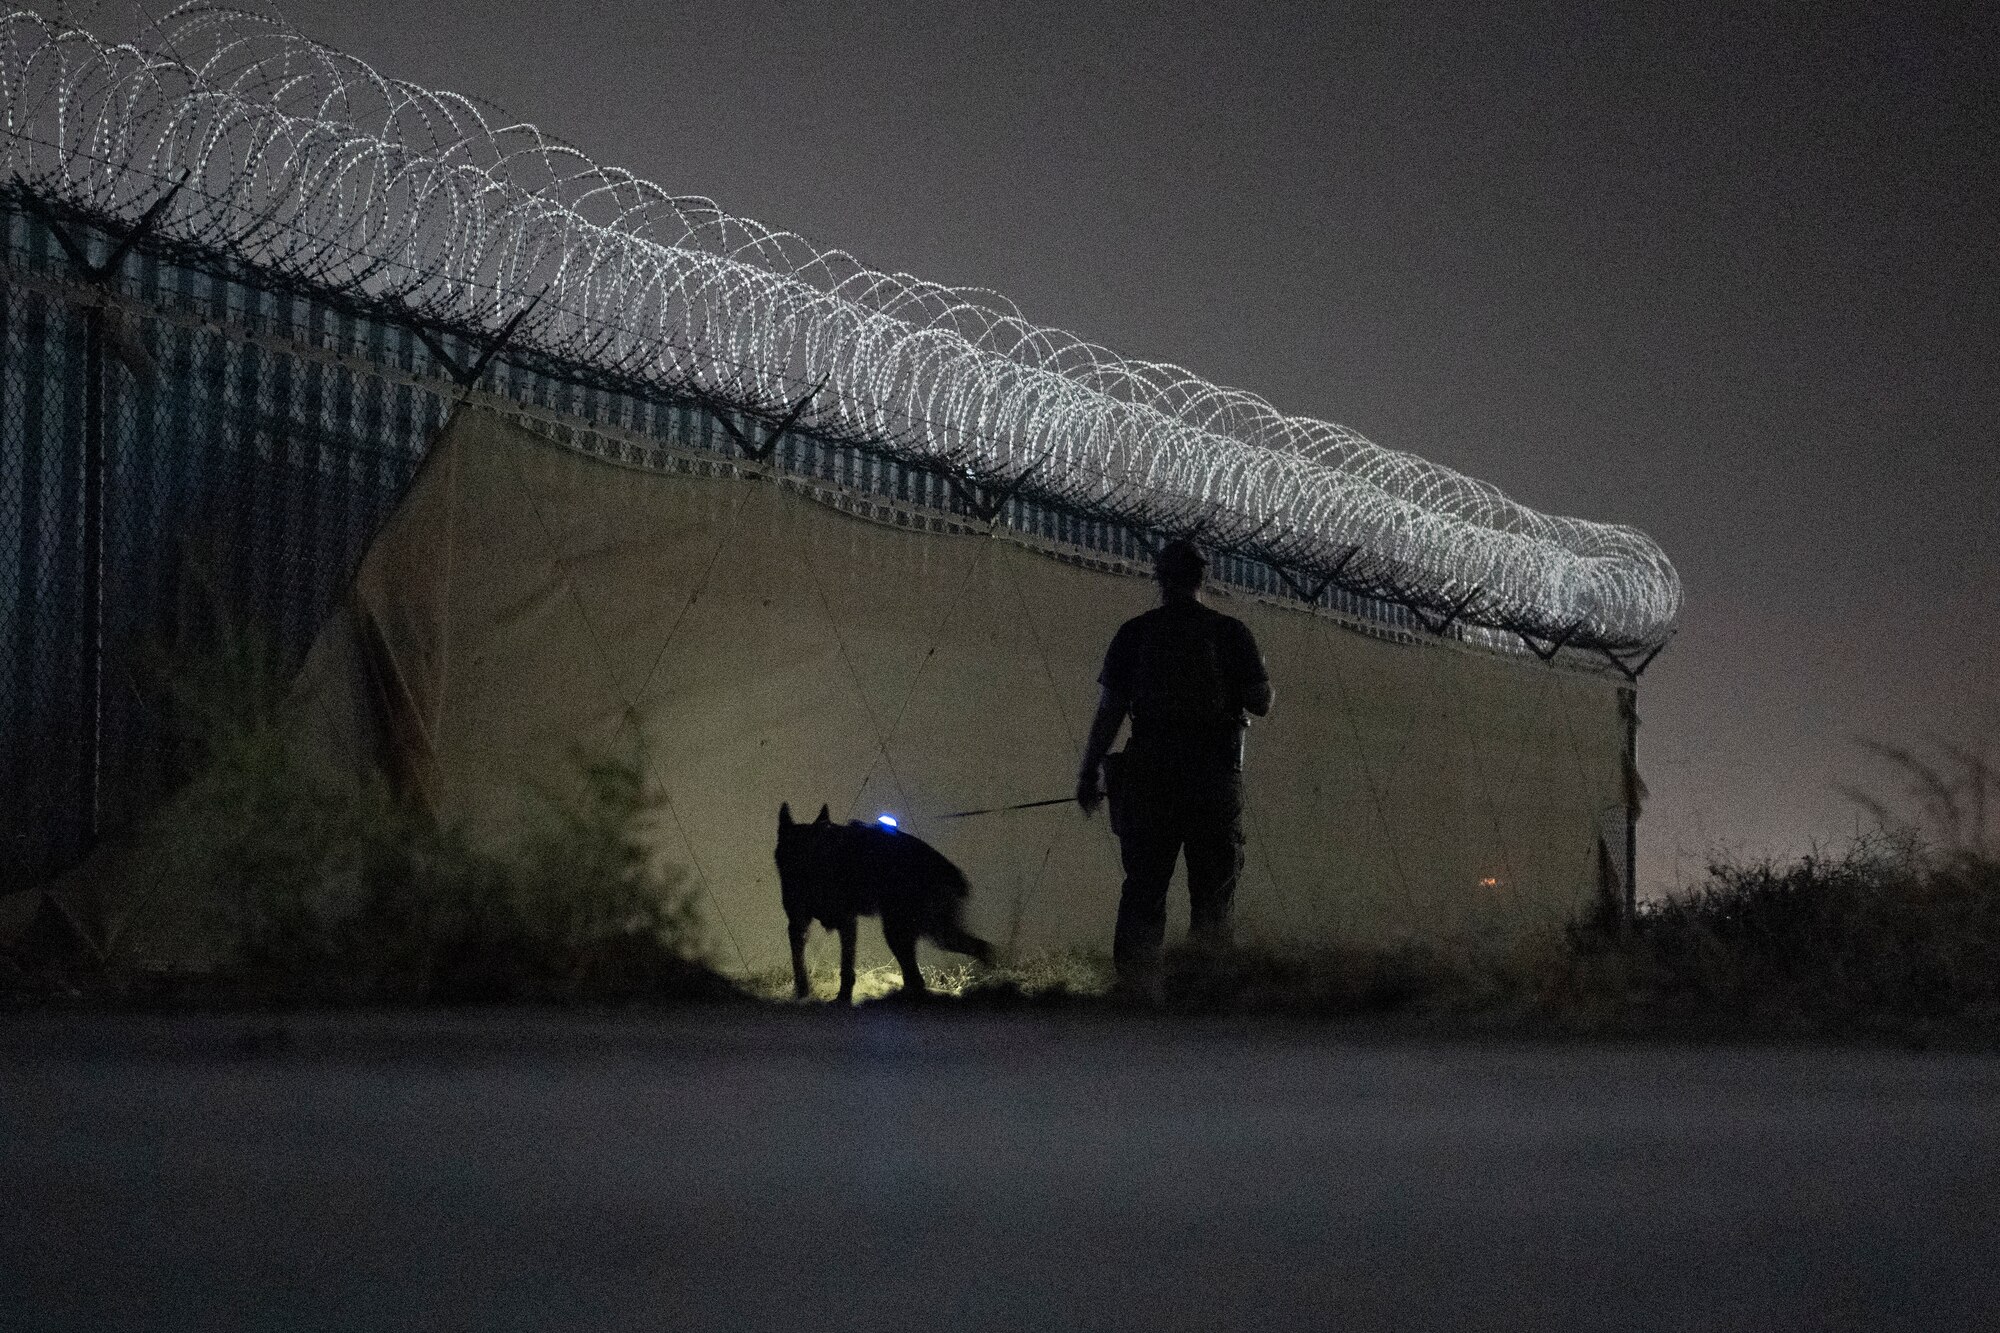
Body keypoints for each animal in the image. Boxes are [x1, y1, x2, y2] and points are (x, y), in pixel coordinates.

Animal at [780, 800, 1000, 996]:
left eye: (827, 845)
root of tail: (950, 870)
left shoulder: (847, 923)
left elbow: (847, 968)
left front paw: (842, 999)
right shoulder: (798, 926)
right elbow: (799, 965)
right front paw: (803, 994)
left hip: (921, 934)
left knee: (980, 950)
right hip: (907, 934)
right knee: (917, 977)